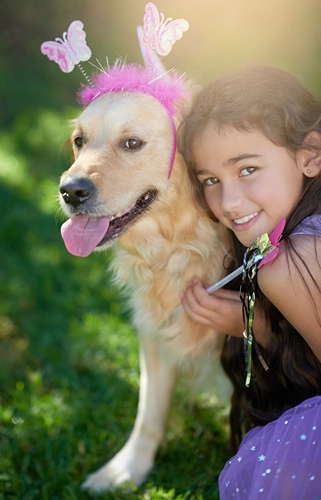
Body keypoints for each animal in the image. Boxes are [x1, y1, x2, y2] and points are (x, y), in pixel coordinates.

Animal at [57, 50, 231, 492]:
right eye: (80, 141)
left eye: (132, 143)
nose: (70, 191)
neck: (182, 245)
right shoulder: (155, 331)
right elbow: (148, 414)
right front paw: (125, 470)